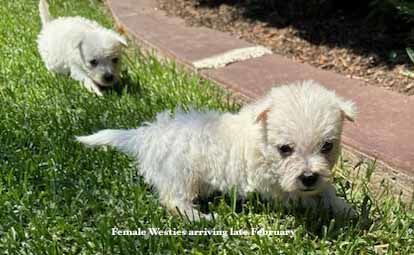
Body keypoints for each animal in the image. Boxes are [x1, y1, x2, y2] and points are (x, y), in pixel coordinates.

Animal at [76, 80, 358, 220]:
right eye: (285, 149)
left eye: (327, 146)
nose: (309, 177)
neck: (260, 141)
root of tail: (147, 135)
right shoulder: (273, 186)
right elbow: (303, 199)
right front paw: (324, 210)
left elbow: (327, 191)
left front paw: (345, 208)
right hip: (179, 175)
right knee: (173, 201)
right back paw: (200, 218)